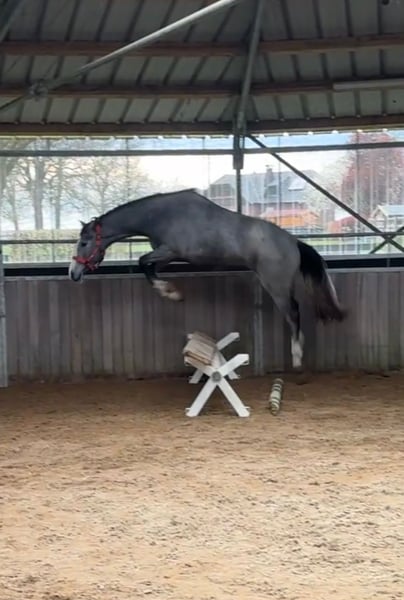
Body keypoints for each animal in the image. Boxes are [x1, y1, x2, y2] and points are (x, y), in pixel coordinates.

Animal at [68, 188, 347, 369]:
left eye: (84, 242)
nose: (73, 273)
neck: (161, 215)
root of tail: (294, 242)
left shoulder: (170, 251)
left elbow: (142, 262)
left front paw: (171, 292)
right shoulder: (167, 256)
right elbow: (148, 267)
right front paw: (171, 291)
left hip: (275, 285)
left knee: (294, 312)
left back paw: (297, 356)